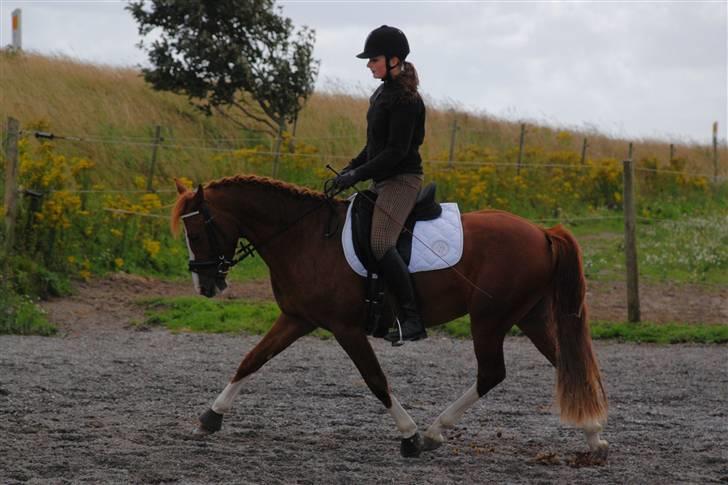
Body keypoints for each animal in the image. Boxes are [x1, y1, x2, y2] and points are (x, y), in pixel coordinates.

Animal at [171, 175, 608, 458]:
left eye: (196, 234)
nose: (205, 286)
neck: (305, 238)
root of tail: (542, 232)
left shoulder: (345, 328)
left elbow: (375, 380)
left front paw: (410, 436)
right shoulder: (297, 318)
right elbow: (252, 360)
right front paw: (210, 418)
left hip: (490, 319)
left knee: (492, 374)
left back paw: (433, 433)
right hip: (528, 316)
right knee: (564, 363)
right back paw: (594, 439)